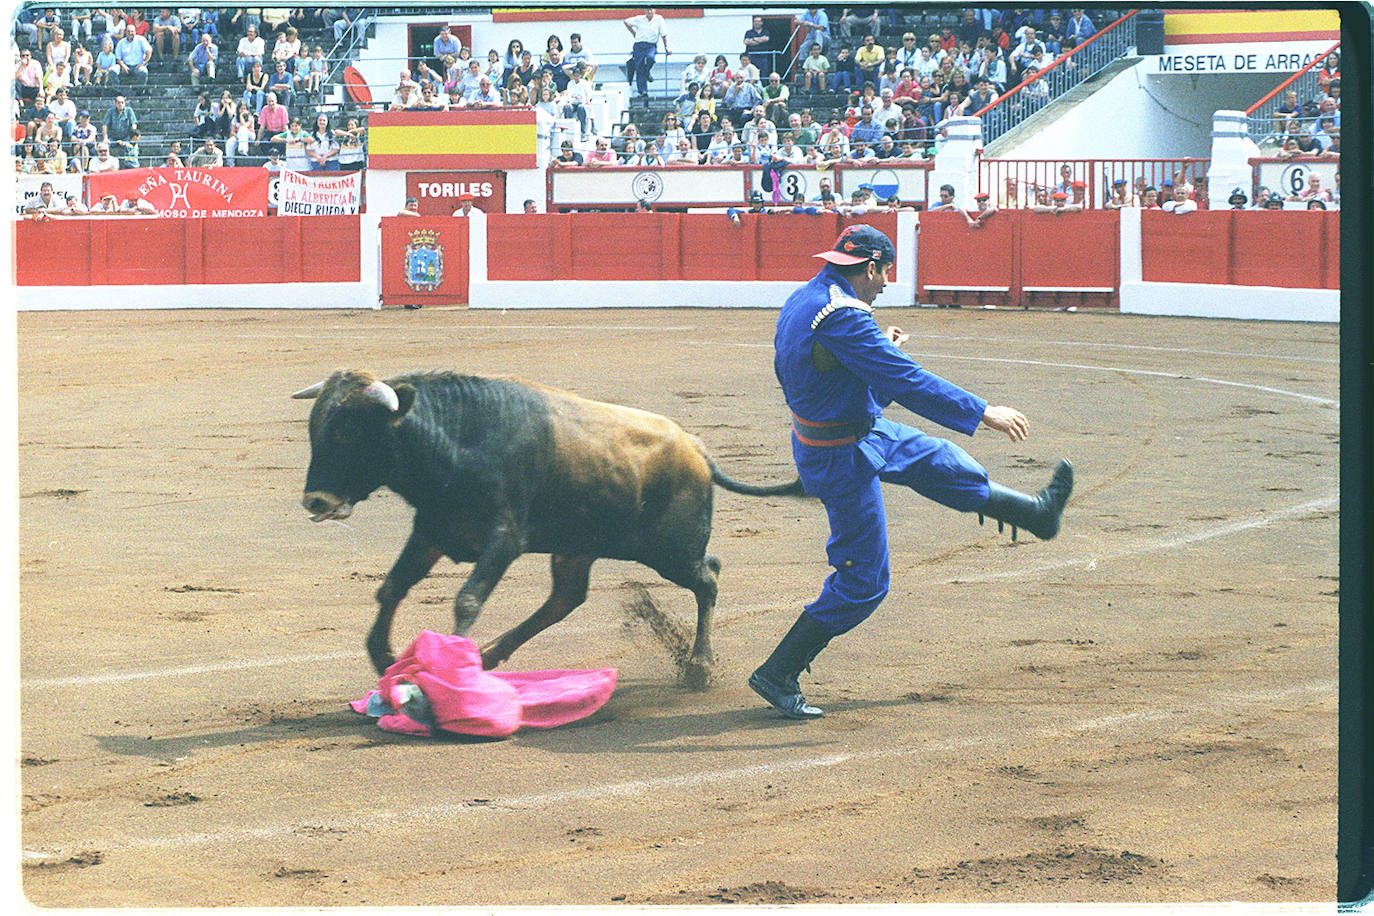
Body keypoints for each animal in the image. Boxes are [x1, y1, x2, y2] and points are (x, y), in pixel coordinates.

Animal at [292, 368, 802, 683]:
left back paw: (699, 667)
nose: (316, 500)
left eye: (349, 431)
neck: (457, 436)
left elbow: (467, 597)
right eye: (316, 427)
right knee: (566, 598)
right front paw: (384, 658)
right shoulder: (433, 530)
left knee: (708, 576)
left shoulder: (504, 537)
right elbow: (392, 588)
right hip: (577, 548)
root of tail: (696, 448)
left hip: (670, 552)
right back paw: (489, 655)